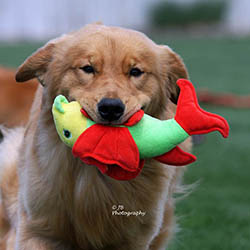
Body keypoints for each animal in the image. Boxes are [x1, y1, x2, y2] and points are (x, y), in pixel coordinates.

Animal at [0, 23, 191, 250]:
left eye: (135, 72)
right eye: (88, 68)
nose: (111, 108)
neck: (95, 171)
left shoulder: (134, 236)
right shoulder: (37, 229)